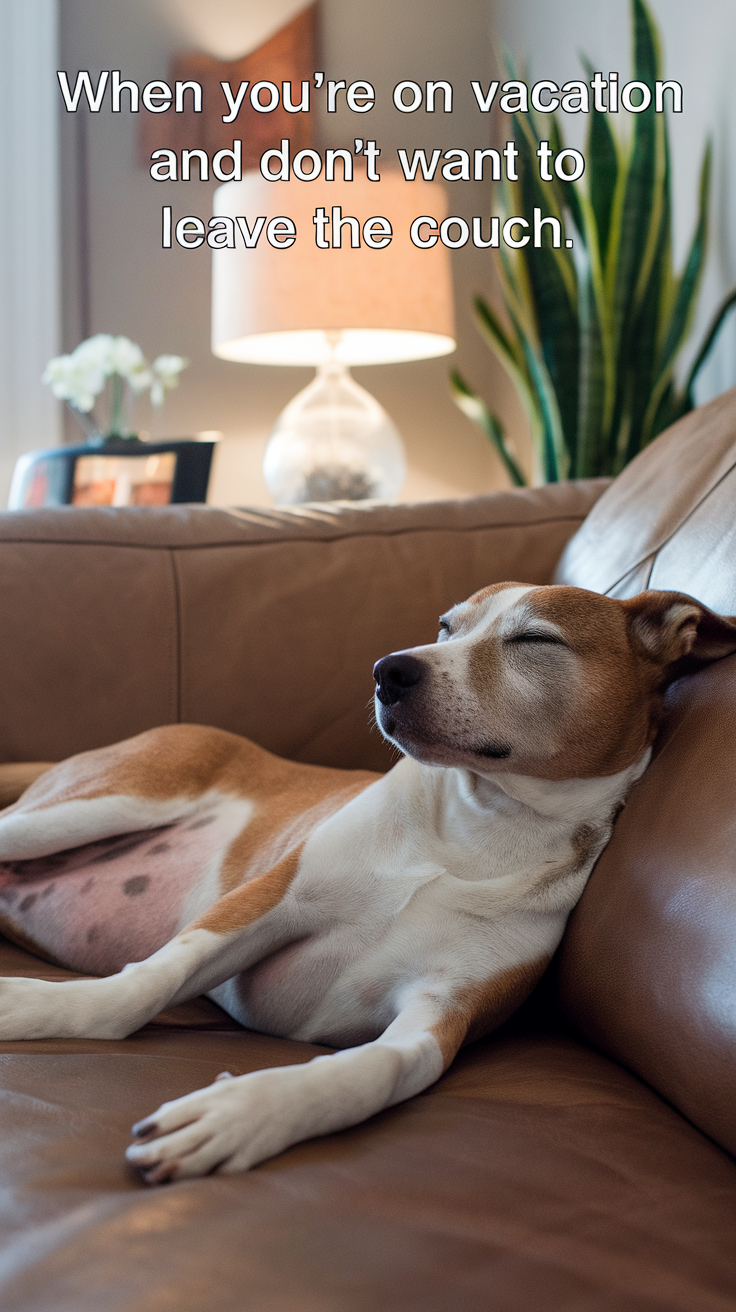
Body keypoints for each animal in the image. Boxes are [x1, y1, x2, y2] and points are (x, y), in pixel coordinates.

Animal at [0, 582, 729, 1180]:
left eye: (535, 640)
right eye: (446, 626)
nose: (390, 670)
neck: (475, 832)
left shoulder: (442, 1011)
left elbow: (372, 1069)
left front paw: (247, 1110)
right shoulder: (268, 902)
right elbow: (145, 982)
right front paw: (39, 1007)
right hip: (92, 807)